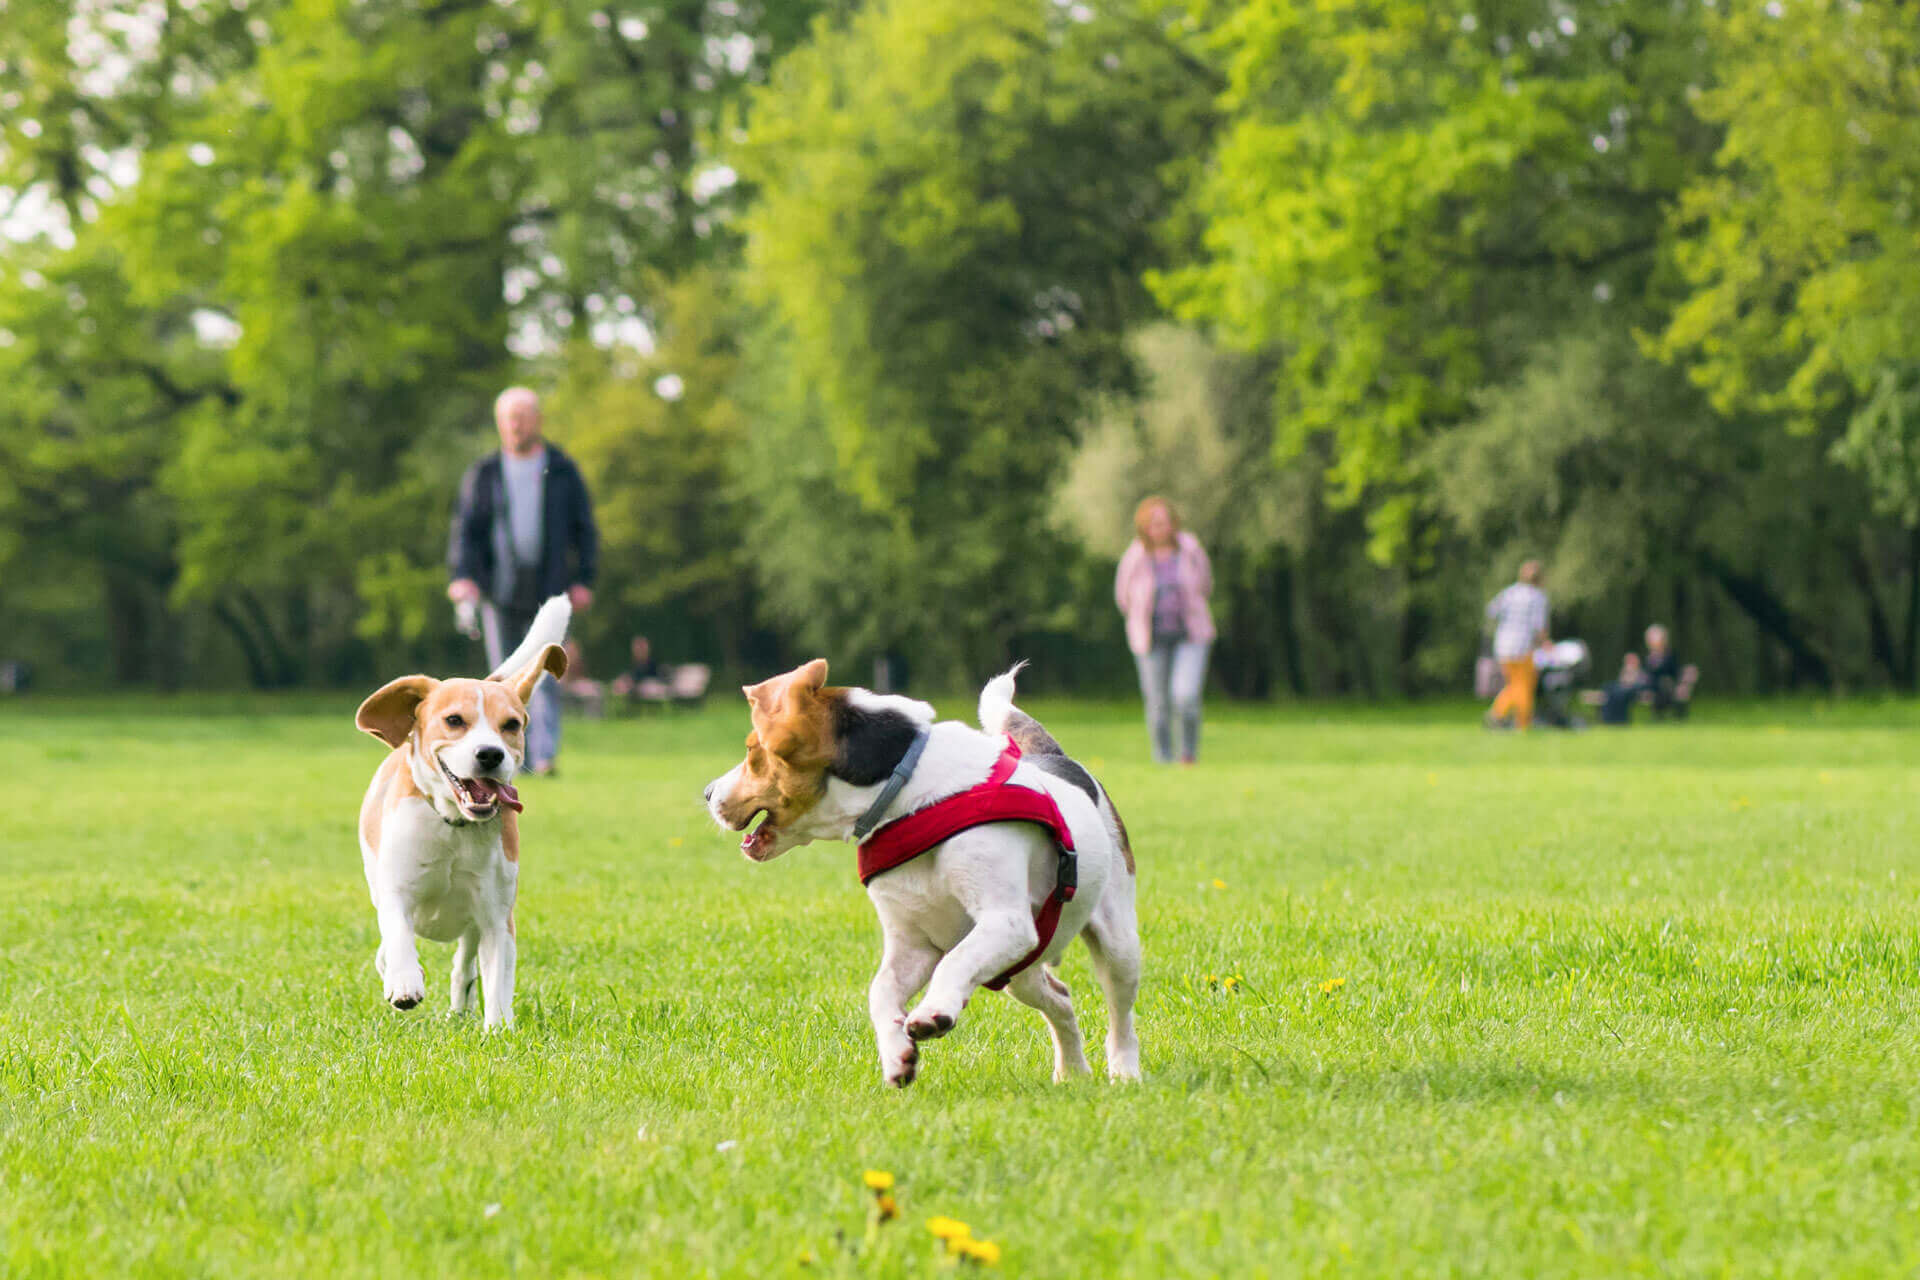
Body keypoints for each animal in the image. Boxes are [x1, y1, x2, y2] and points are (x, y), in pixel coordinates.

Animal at [351, 594, 564, 1028]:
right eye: (454, 720)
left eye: (511, 725)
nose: (490, 754)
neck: (454, 827)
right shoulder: (396, 891)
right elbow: (397, 934)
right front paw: (404, 982)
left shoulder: (497, 917)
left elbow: (497, 978)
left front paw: (498, 1029)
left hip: (472, 923)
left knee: (464, 962)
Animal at [702, 660, 1136, 1090]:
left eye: (752, 751)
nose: (706, 793)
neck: (909, 798)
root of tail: (1055, 756)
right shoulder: (913, 944)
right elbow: (880, 992)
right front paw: (897, 1055)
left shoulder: (1005, 922)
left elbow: (955, 962)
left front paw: (933, 1012)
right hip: (1020, 969)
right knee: (1060, 999)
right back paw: (1072, 1072)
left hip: (1115, 946)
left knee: (1120, 1017)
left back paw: (1124, 1072)